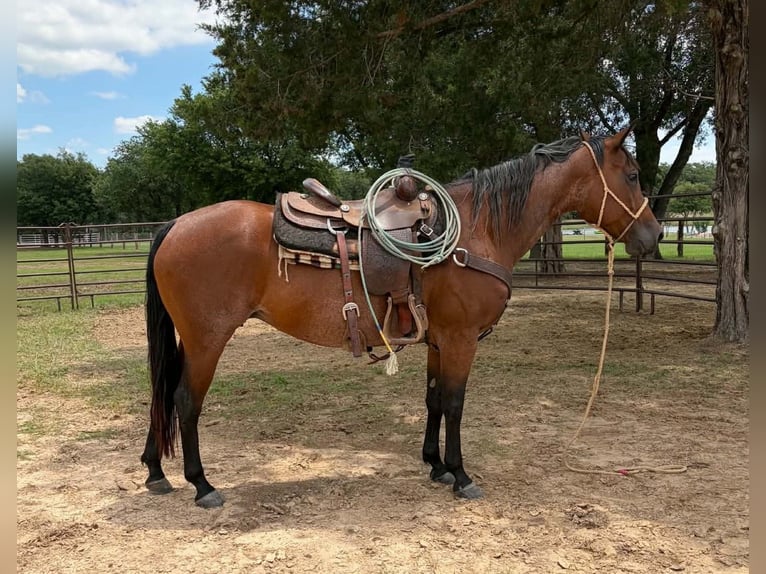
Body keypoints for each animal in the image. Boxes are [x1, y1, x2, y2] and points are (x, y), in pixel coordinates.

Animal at [140, 126, 662, 508]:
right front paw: (462, 475)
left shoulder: (439, 340)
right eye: (632, 174)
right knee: (185, 400)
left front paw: (436, 465)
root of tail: (175, 224)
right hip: (208, 339)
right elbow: (455, 403)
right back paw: (202, 486)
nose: (653, 235)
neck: (476, 229)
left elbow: (433, 400)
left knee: (162, 393)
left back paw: (155, 472)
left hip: (191, 340)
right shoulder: (461, 339)